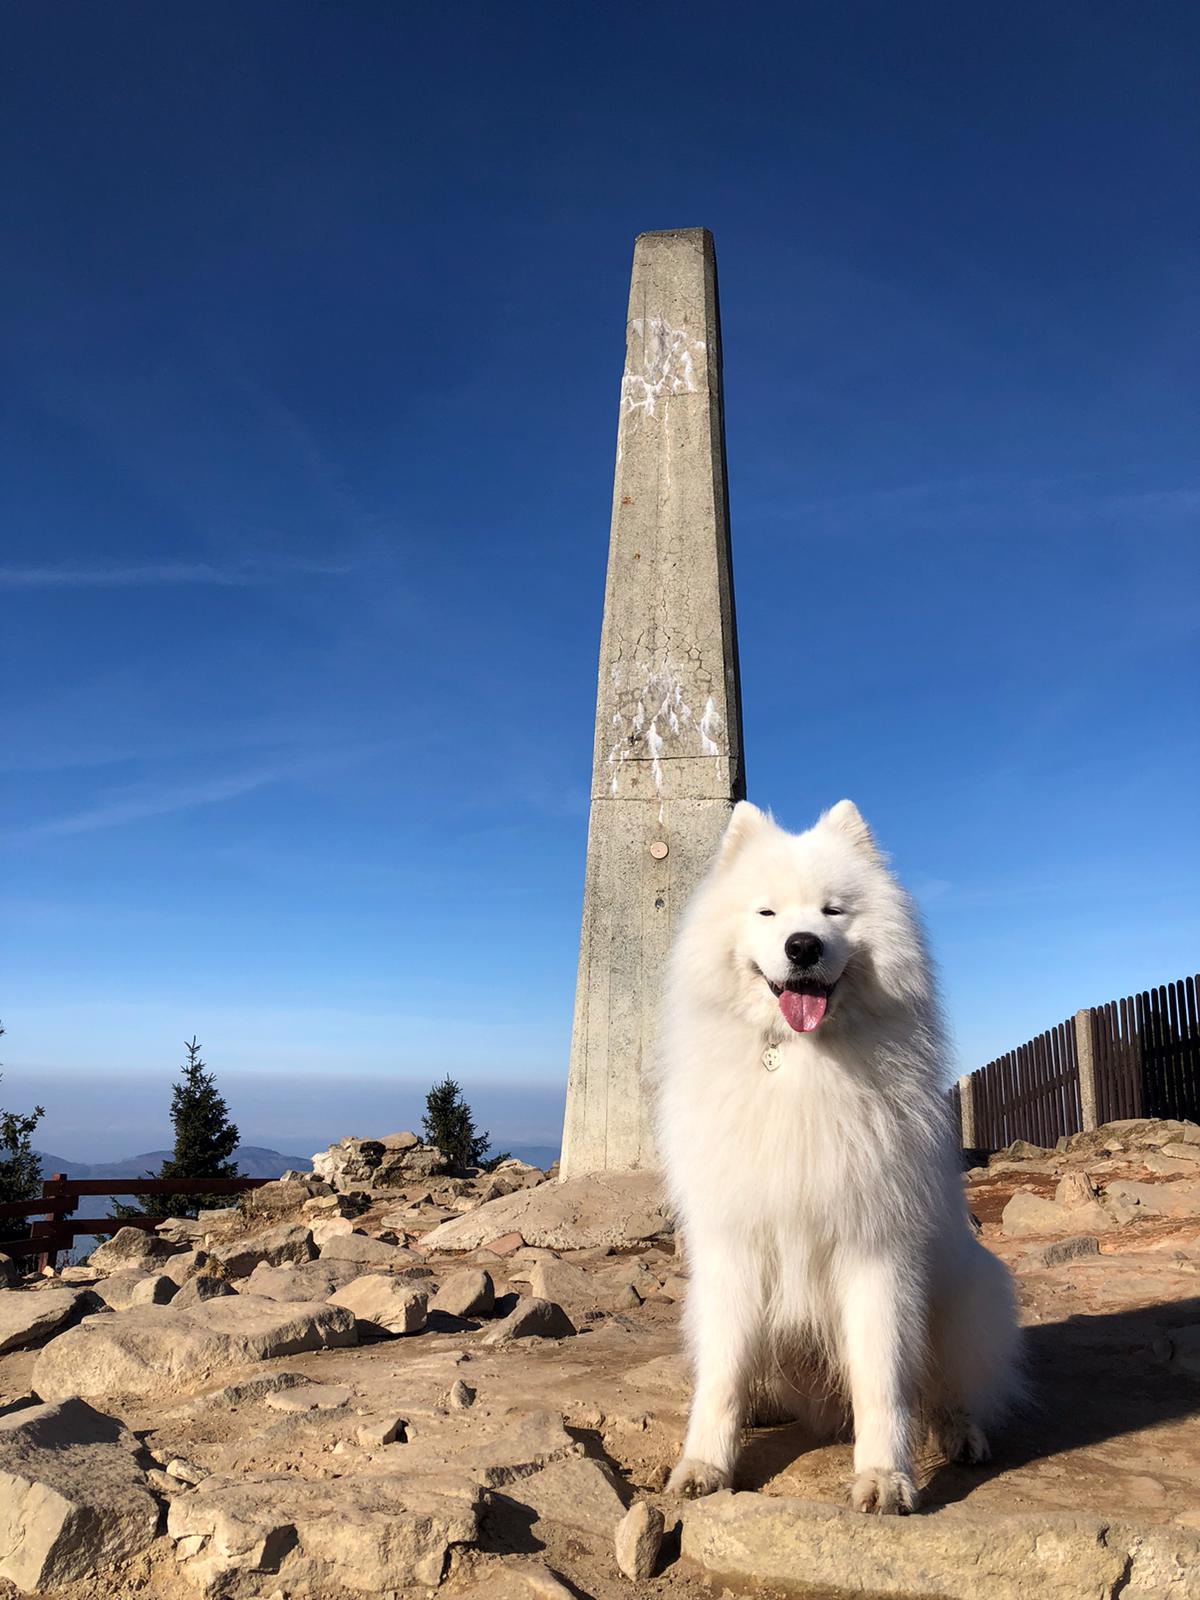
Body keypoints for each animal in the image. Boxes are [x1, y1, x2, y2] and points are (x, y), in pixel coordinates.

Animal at [654, 799, 1020, 1513]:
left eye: (833, 911)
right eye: (767, 913)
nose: (803, 946)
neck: (803, 1062)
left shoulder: (874, 1252)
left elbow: (883, 1380)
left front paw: (885, 1478)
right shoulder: (734, 1249)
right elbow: (722, 1379)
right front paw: (705, 1464)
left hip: (969, 1293)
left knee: (947, 1389)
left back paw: (958, 1433)